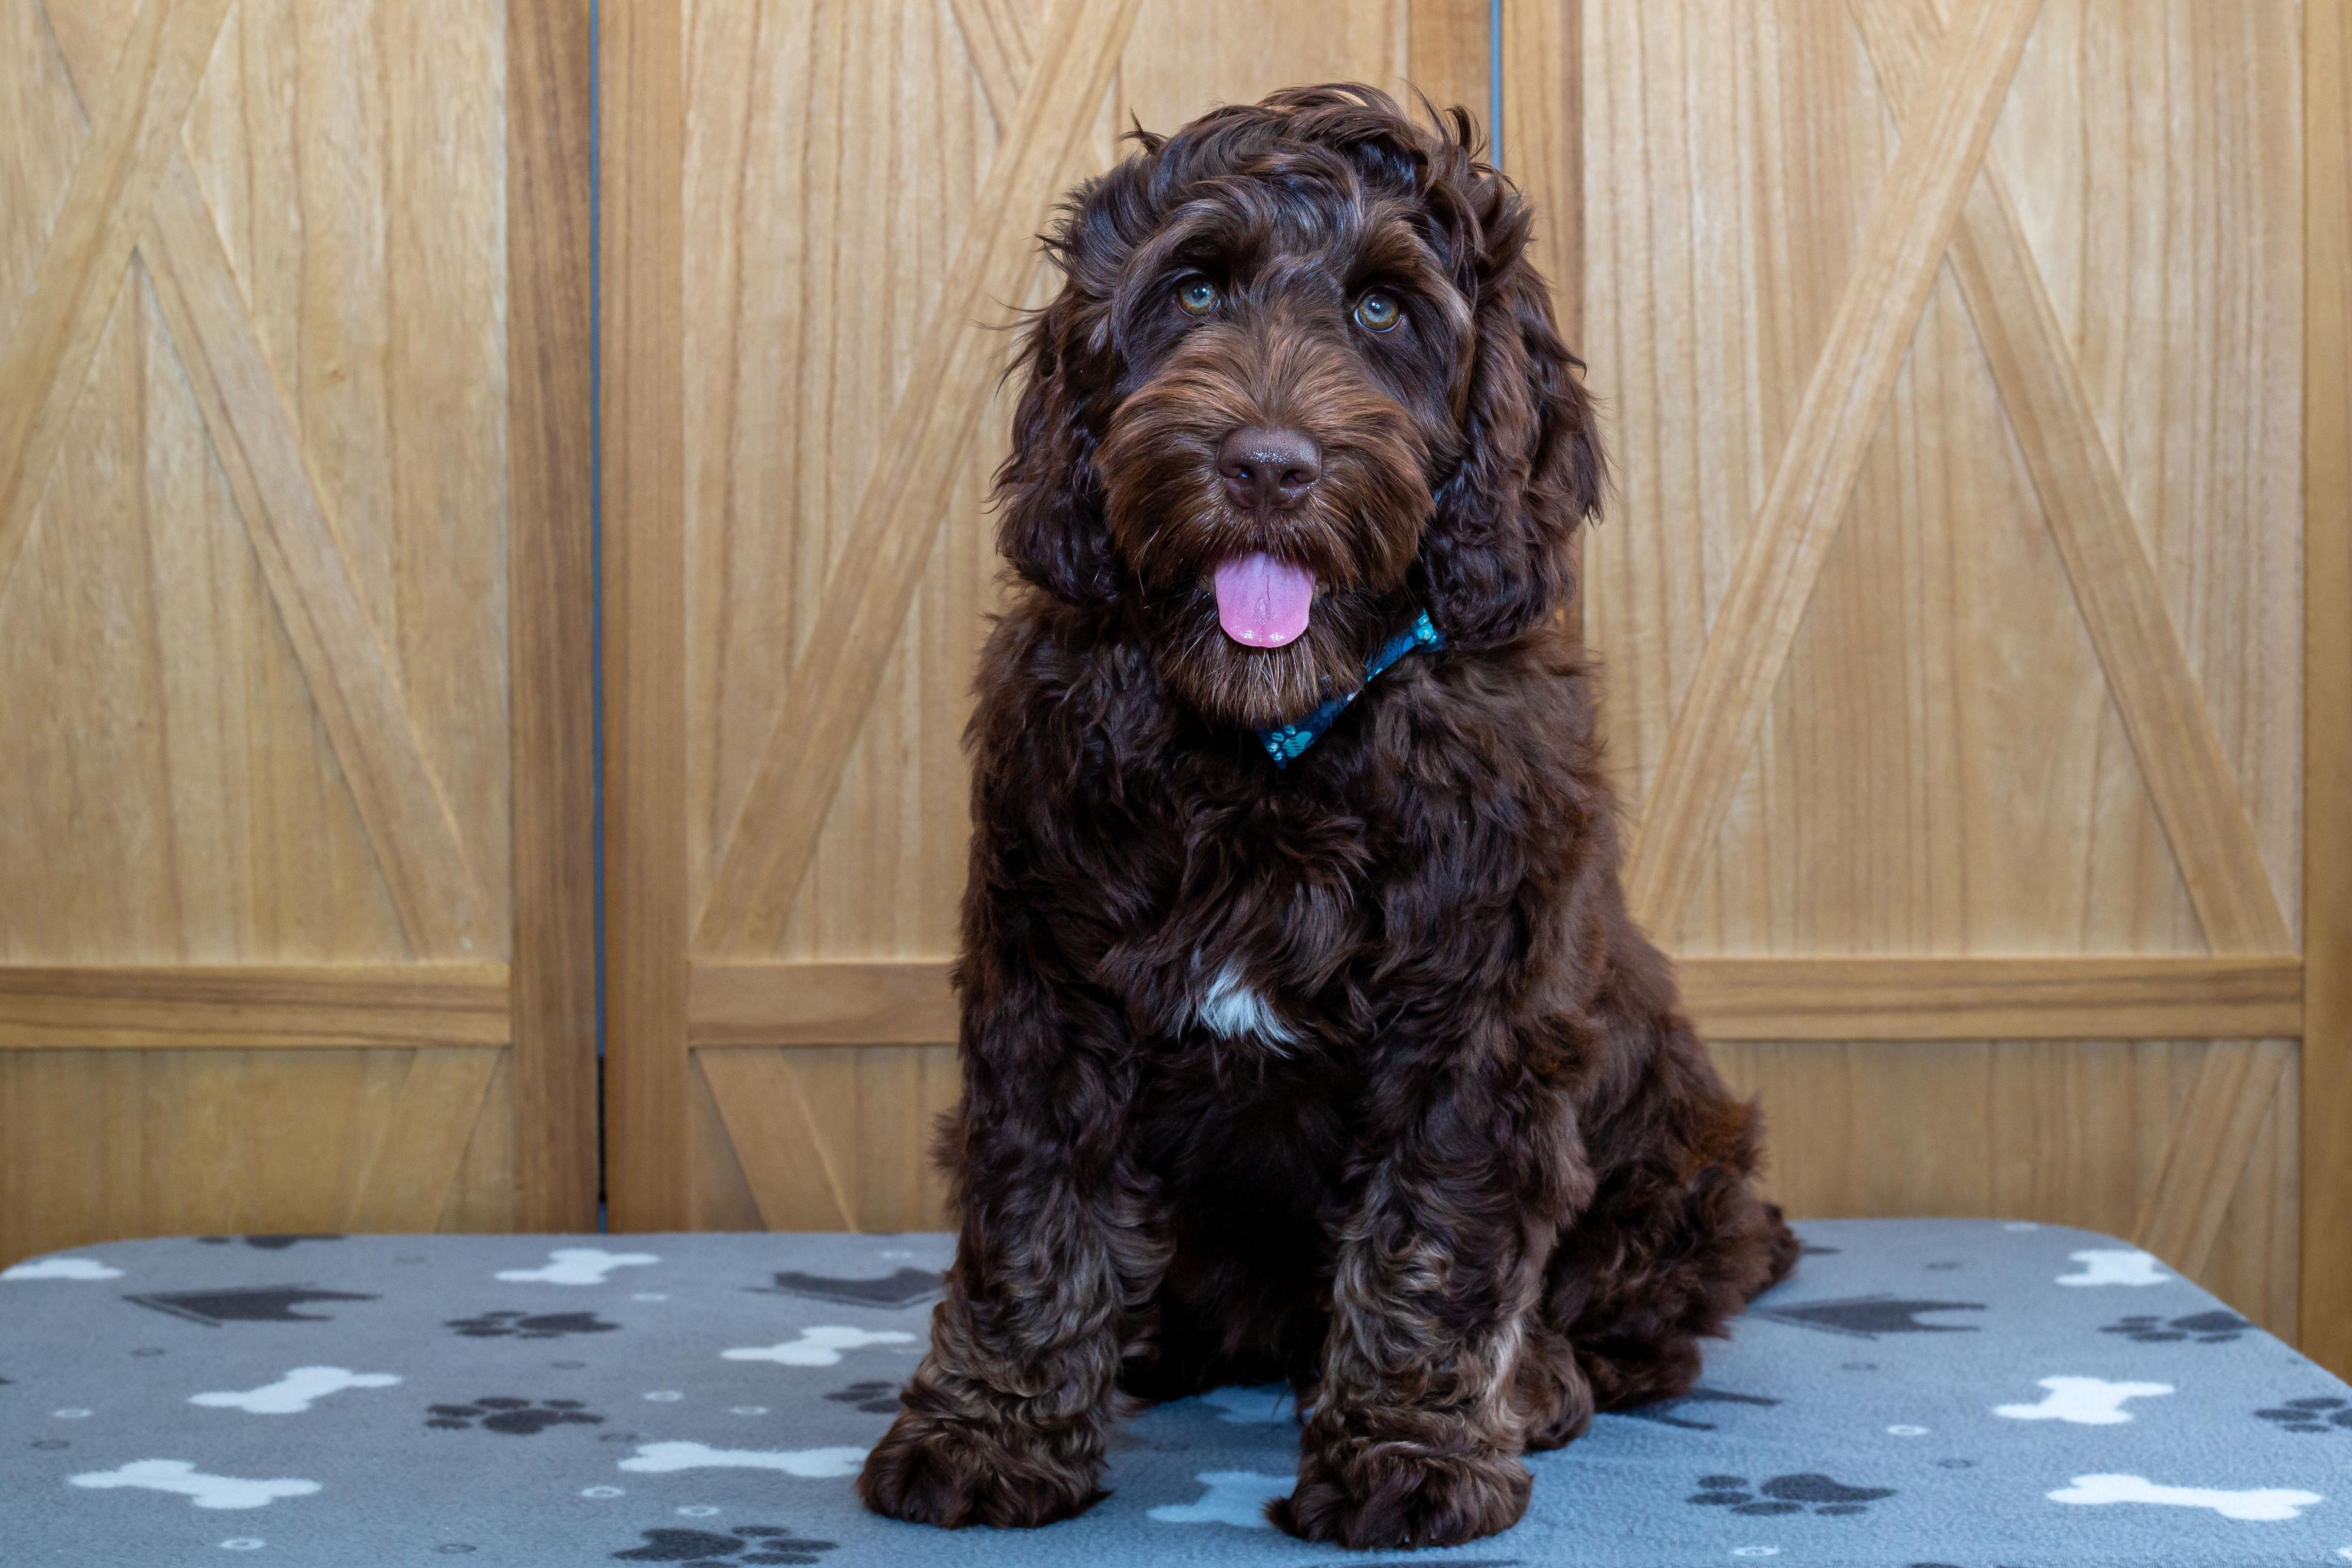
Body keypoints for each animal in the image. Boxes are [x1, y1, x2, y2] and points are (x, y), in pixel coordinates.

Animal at [856, 84, 1797, 1550]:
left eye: (1383, 310)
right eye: (1193, 289)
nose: (1267, 467)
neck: (1271, 746)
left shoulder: (1473, 1019)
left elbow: (1434, 1236)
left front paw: (1409, 1450)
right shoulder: (1052, 985)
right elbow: (1034, 1217)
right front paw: (993, 1430)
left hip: (1681, 1140)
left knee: (1656, 1318)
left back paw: (1548, 1377)